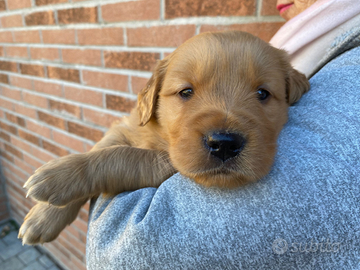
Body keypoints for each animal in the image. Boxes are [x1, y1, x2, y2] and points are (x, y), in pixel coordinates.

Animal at [18, 31, 310, 245]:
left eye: (263, 94)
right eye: (186, 92)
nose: (224, 144)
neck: (162, 137)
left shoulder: (166, 164)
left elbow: (121, 157)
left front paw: (56, 179)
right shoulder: (125, 128)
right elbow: (100, 149)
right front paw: (45, 214)